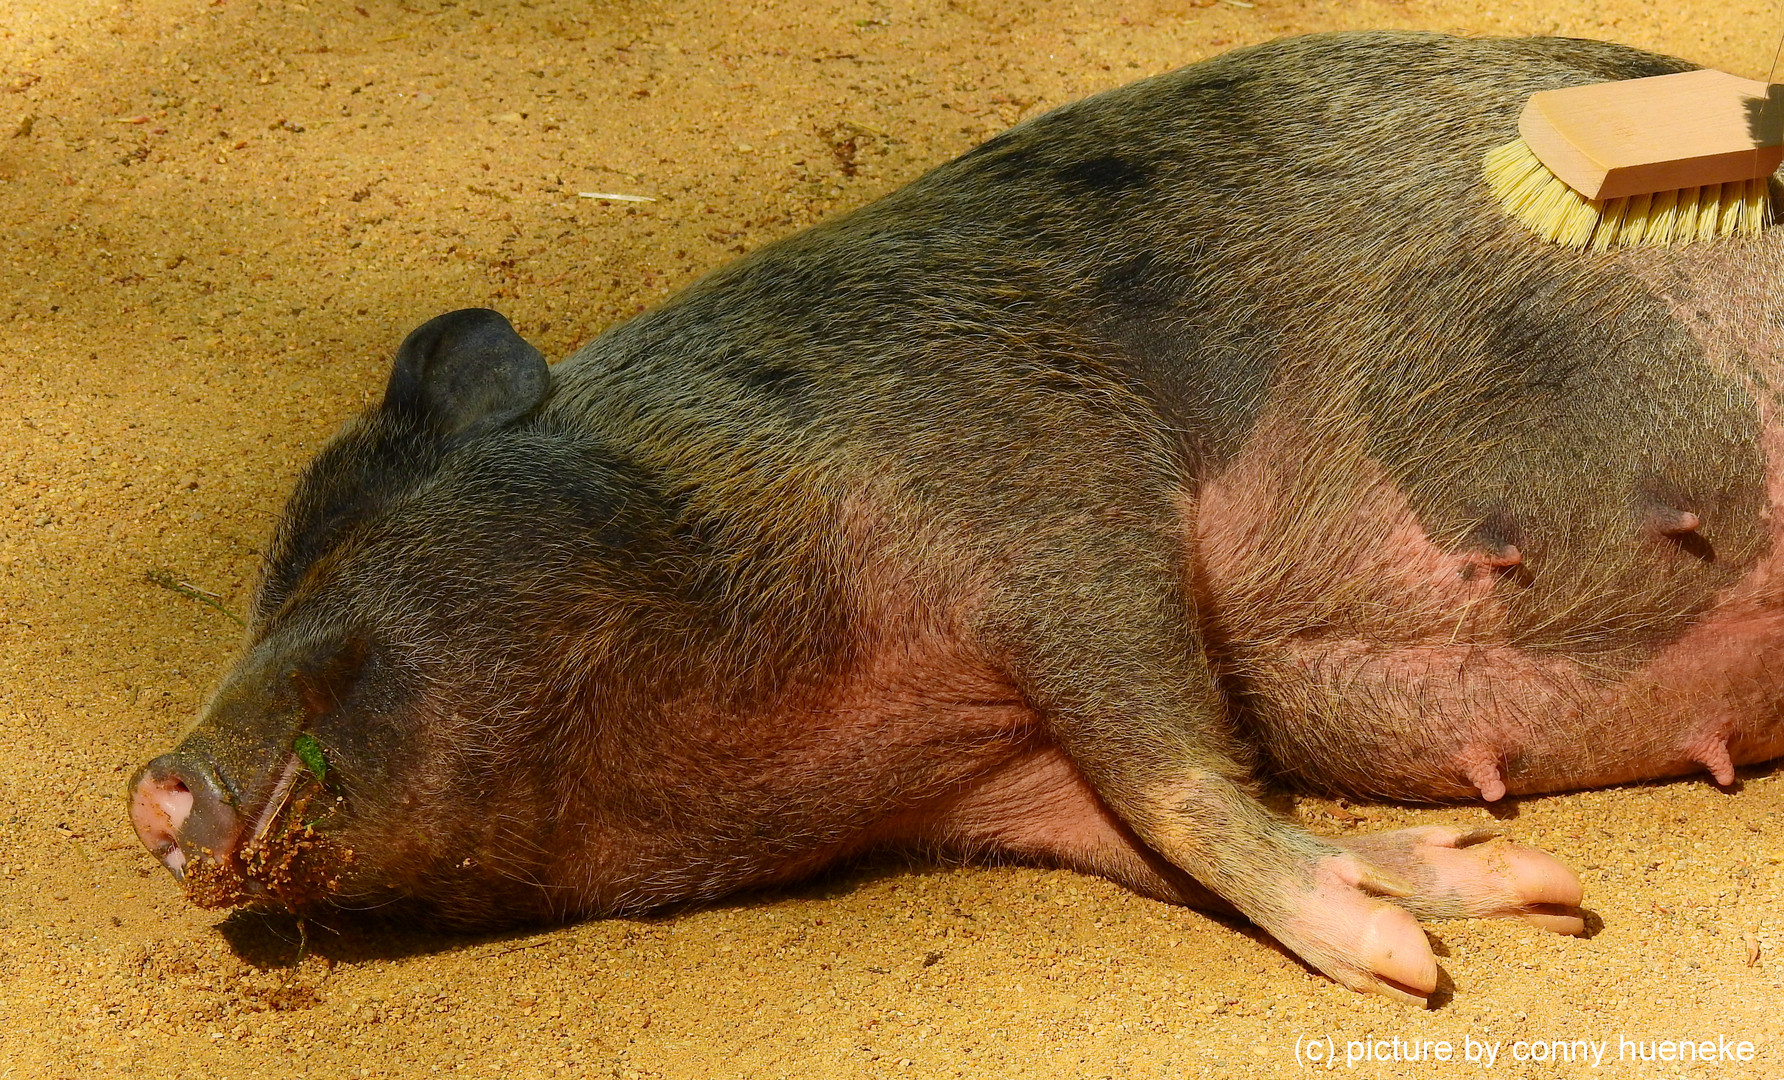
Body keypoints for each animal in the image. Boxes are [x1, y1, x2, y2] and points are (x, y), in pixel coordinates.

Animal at [125, 27, 1784, 999]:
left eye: (322, 559)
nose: (151, 786)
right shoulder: (1007, 788)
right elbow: (1168, 828)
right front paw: (1486, 889)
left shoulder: (1041, 471)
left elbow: (1172, 759)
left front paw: (1427, 957)